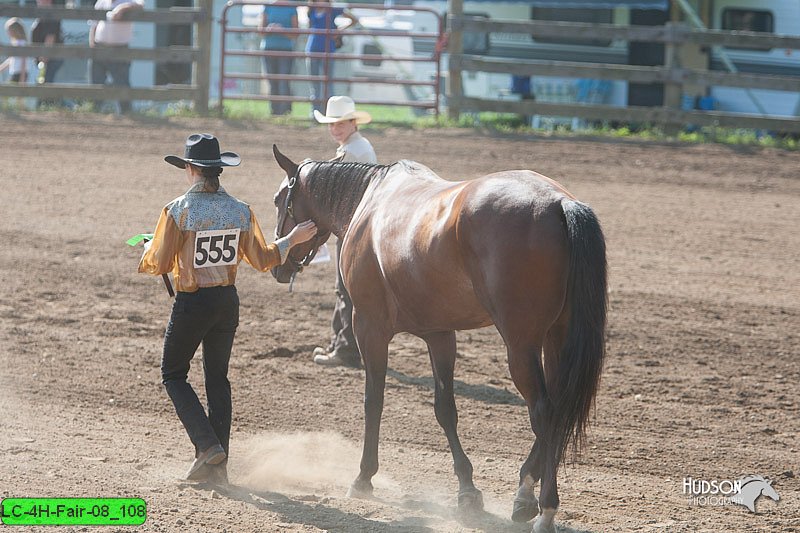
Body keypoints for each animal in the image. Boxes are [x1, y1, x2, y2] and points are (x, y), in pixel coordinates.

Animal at [268, 145, 608, 532]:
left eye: (280, 200)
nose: (278, 262)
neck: (371, 200)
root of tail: (557, 203)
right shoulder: (439, 334)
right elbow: (446, 409)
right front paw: (467, 490)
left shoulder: (369, 327)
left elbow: (374, 401)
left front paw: (364, 477)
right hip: (555, 340)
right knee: (558, 411)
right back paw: (524, 492)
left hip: (521, 345)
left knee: (545, 414)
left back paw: (545, 508)